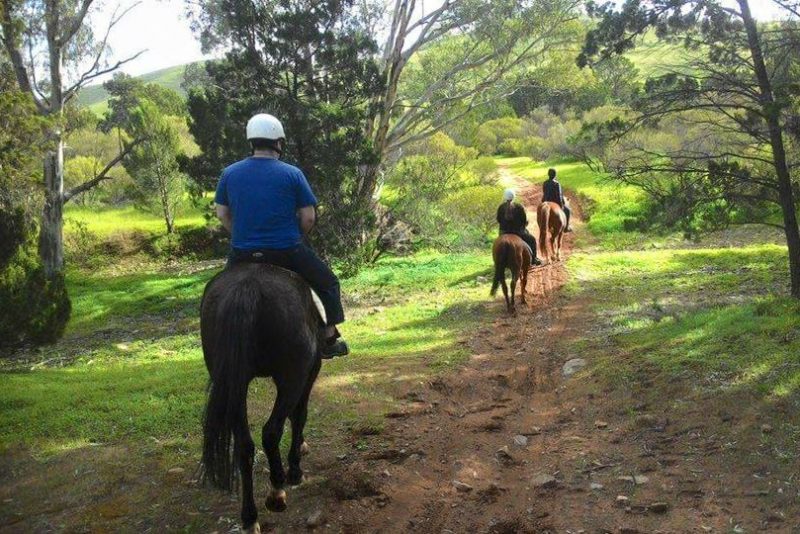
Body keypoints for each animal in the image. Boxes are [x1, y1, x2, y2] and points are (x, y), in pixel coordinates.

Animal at [202, 262, 324, 532]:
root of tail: (247, 288)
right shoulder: (310, 370)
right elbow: (299, 415)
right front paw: (296, 468)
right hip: (292, 376)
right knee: (271, 431)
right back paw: (277, 491)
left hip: (234, 384)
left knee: (244, 445)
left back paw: (250, 518)